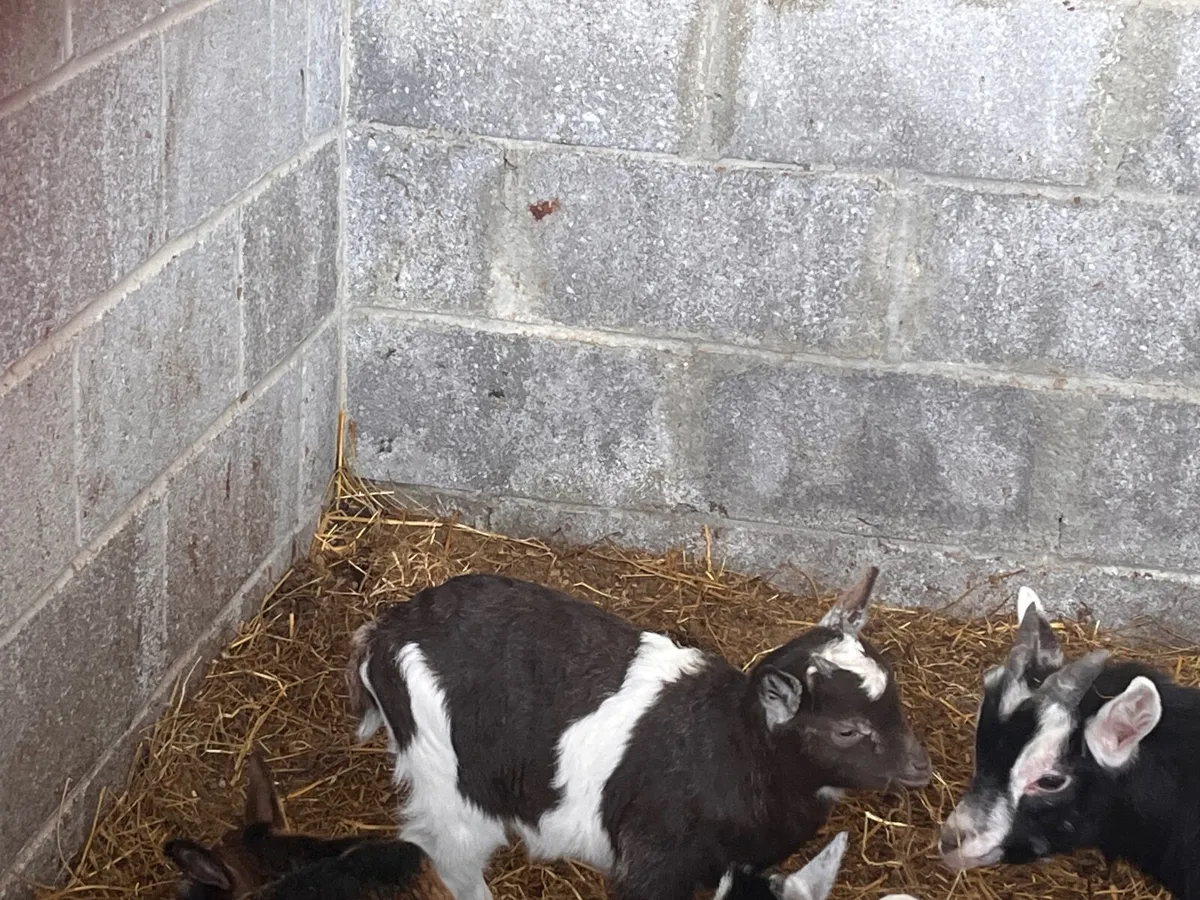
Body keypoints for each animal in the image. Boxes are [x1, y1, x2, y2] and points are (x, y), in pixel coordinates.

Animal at [348, 568, 931, 900]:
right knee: (451, 855)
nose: (919, 766)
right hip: (449, 782)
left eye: (896, 692)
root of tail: (387, 632)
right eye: (847, 730)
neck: (730, 747)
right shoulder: (652, 864)